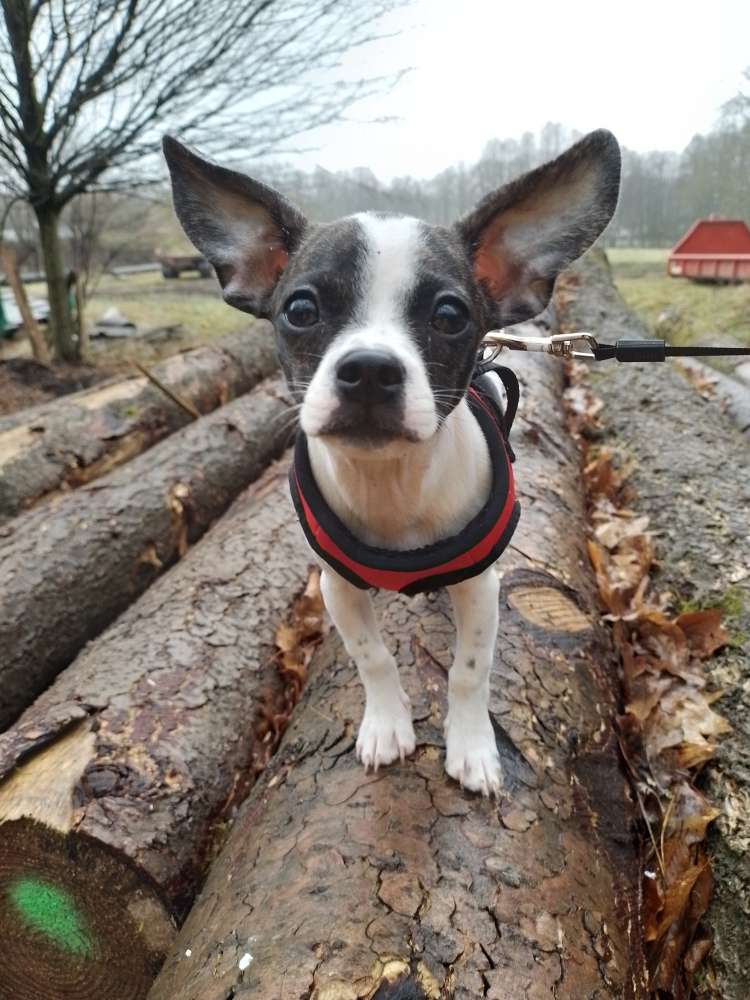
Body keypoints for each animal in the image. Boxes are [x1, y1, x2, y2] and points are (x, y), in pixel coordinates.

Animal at [164, 129, 624, 796]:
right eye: (300, 310)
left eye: (450, 316)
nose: (370, 368)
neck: (391, 484)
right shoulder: (337, 587)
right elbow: (372, 656)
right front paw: (387, 725)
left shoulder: (481, 587)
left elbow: (469, 670)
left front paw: (472, 748)